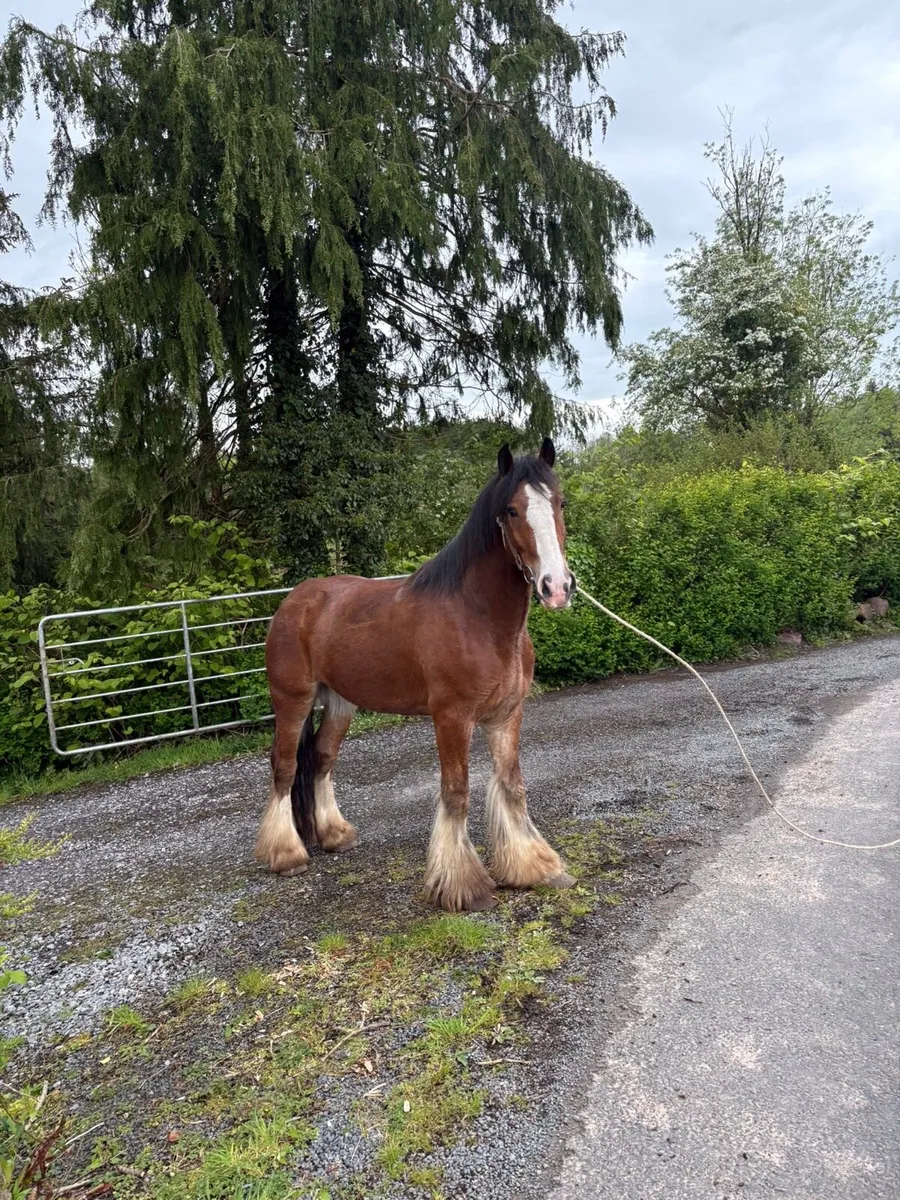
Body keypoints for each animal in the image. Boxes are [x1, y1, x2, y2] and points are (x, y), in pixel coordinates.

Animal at [256, 438, 577, 911]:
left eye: (560, 502)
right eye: (513, 510)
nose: (556, 588)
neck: (478, 618)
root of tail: (296, 600)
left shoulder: (506, 715)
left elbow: (512, 786)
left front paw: (533, 867)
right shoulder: (452, 718)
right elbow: (456, 792)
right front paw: (463, 886)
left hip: (339, 702)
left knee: (323, 759)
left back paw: (334, 834)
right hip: (292, 699)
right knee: (284, 766)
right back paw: (286, 854)